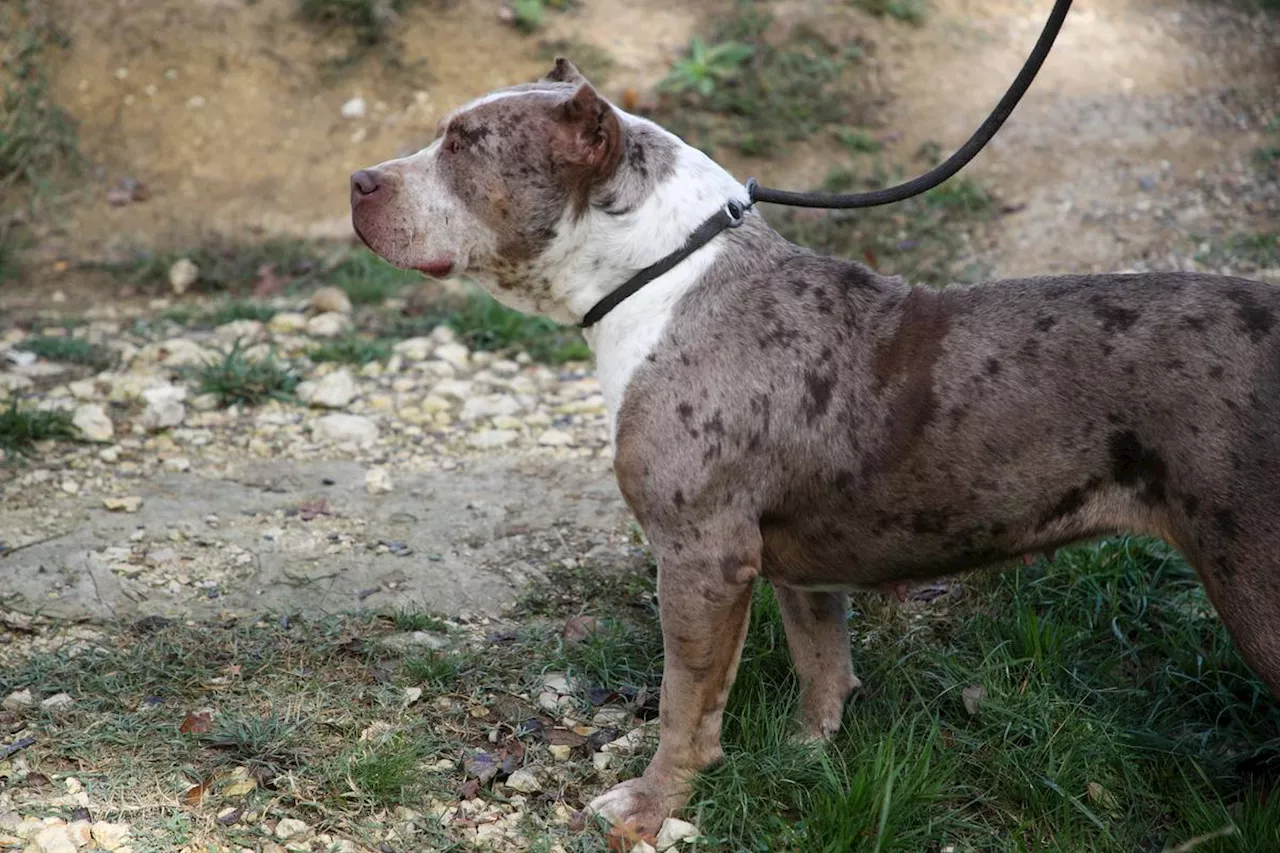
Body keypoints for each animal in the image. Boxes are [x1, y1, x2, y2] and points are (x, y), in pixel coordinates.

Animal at [350, 61, 1280, 835]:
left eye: (463, 145)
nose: (358, 180)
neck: (661, 274)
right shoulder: (795, 563)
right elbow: (821, 664)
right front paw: (803, 756)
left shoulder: (701, 558)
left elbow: (685, 700)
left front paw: (651, 805)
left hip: (1256, 585)